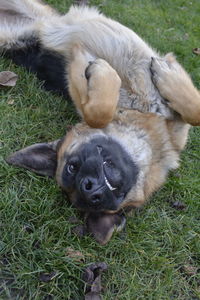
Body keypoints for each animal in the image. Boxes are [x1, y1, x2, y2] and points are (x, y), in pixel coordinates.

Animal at [1, 0, 200, 244]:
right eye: (72, 168)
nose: (89, 188)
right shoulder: (75, 75)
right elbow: (97, 112)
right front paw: (104, 71)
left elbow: (194, 112)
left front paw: (166, 76)